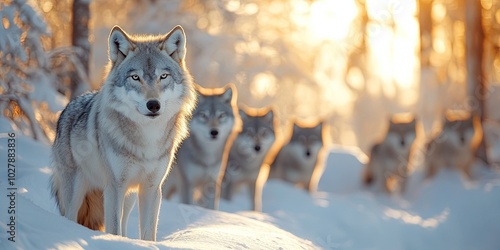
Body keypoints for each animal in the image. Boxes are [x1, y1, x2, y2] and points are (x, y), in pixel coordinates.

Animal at [49, 24, 196, 241]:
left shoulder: (152, 188)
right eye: (135, 77)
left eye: (163, 76)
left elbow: (148, 233)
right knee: (70, 218)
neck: (148, 139)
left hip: (129, 197)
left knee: (124, 225)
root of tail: (67, 107)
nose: (153, 105)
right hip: (77, 193)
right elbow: (113, 228)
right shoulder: (114, 186)